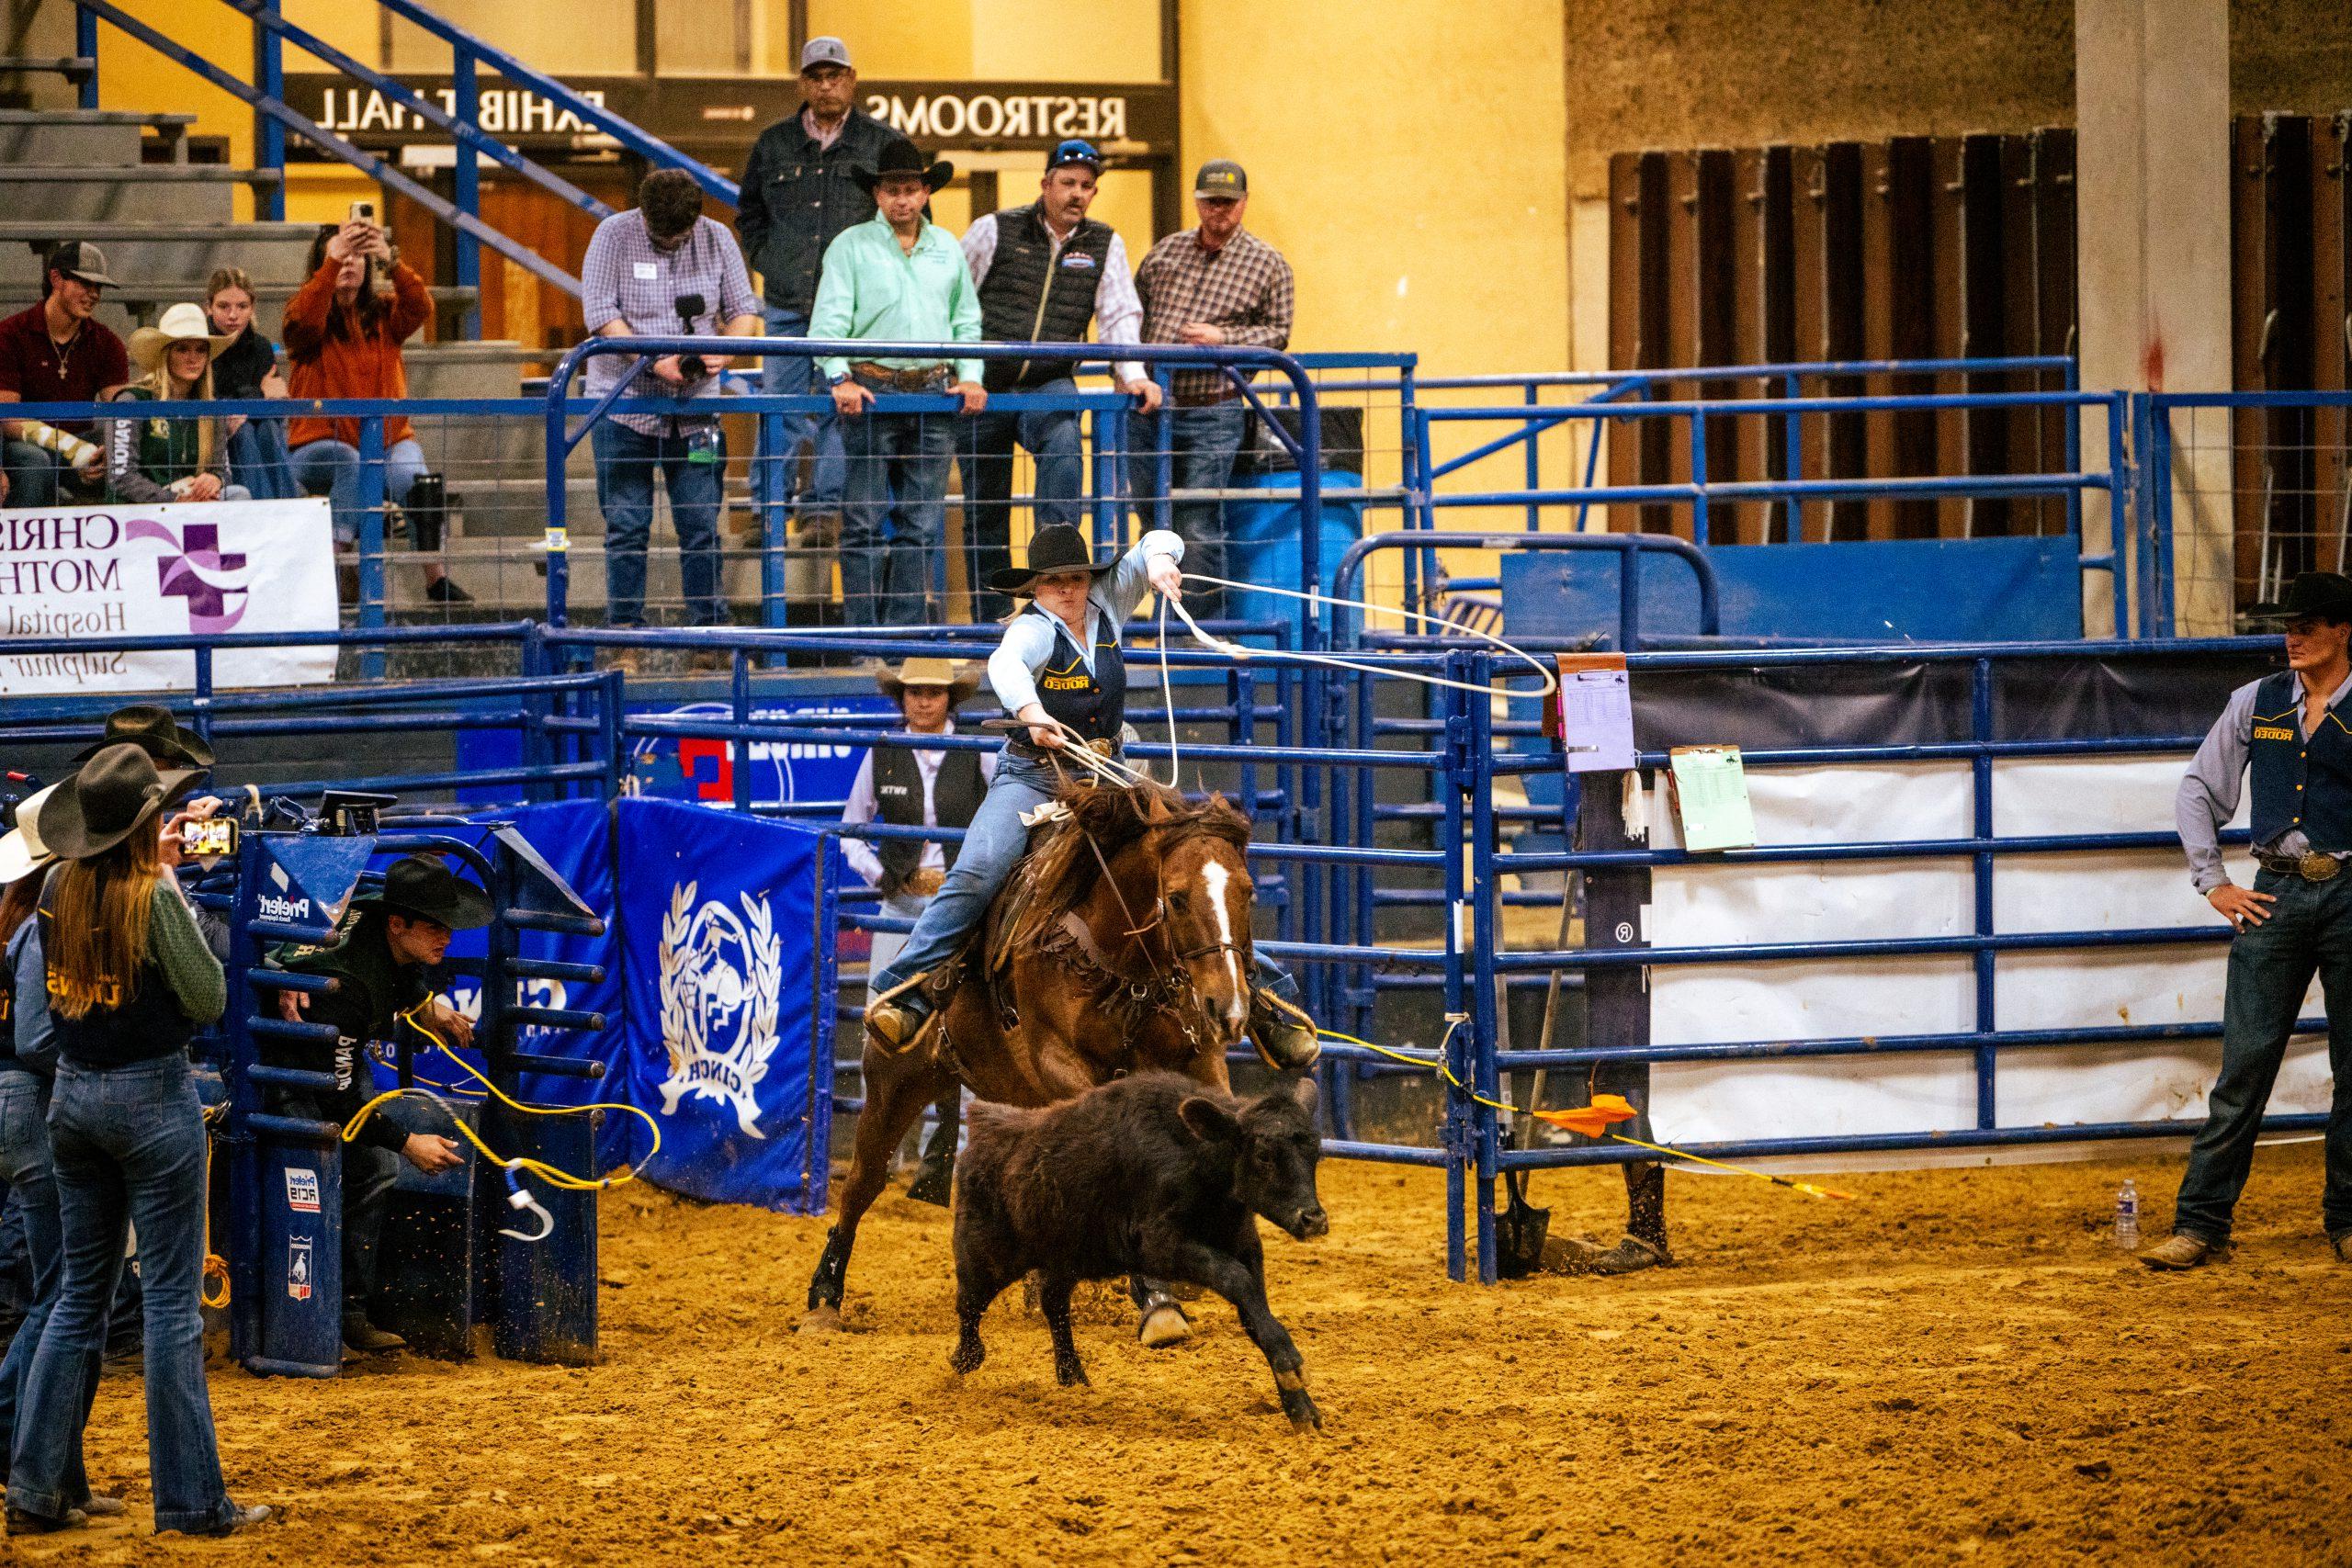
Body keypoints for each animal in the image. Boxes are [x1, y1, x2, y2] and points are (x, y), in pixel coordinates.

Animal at [799, 780, 1261, 1335]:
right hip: (894, 1084)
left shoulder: (1200, 1059)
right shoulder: (1058, 1063)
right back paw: (825, 1298)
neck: (1113, 960)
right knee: (862, 1183)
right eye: (1176, 897)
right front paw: (1156, 1298)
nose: (1229, 1006)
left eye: (1248, 892)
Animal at [945, 1072, 1336, 1429]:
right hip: (986, 1252)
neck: (1196, 1156)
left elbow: (1254, 1309)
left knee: (1053, 1304)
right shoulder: (1161, 1245)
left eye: (1314, 1153)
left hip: (1065, 1258)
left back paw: (1072, 1375)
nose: (1313, 1219)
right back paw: (966, 1358)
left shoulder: (1244, 1245)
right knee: (970, 1303)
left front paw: (1300, 1405)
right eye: (1264, 1154)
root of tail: (986, 1125)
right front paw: (1291, 1364)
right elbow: (1236, 1279)